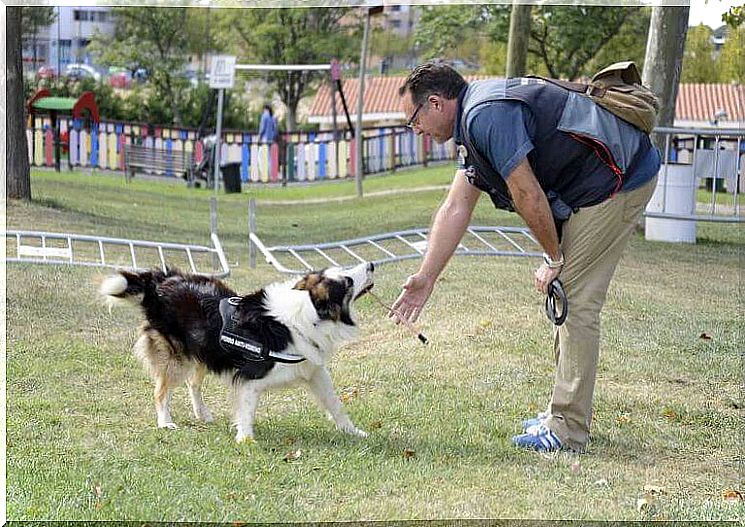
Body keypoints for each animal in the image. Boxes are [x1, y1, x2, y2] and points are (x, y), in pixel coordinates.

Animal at [100, 262, 372, 442]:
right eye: (347, 282)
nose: (370, 264)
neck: (306, 314)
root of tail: (161, 280)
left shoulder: (314, 370)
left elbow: (335, 404)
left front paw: (352, 431)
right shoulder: (251, 377)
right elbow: (247, 410)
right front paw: (246, 440)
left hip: (205, 350)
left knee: (192, 383)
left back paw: (202, 414)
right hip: (178, 357)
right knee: (161, 391)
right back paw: (165, 422)